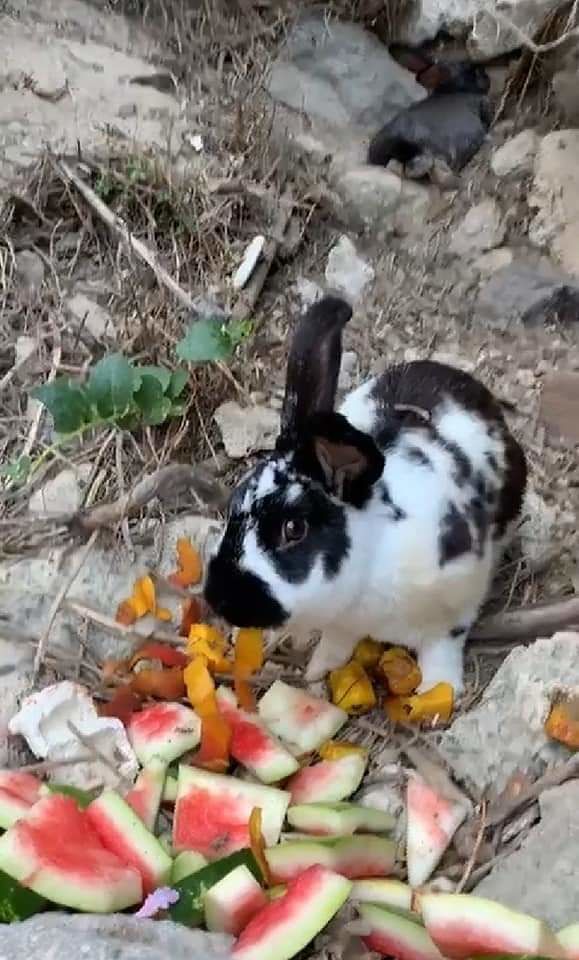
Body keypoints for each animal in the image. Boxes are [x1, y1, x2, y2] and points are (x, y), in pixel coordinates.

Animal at [204, 295, 527, 696]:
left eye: (293, 529)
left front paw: (440, 690)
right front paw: (316, 671)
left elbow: (443, 647)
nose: (218, 598)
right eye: (233, 505)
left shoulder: (455, 602)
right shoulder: (342, 625)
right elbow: (335, 646)